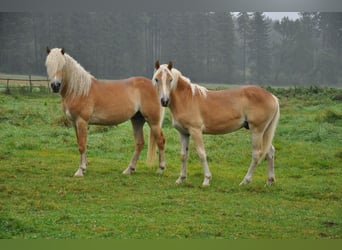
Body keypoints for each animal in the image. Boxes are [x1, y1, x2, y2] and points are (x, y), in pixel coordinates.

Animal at [44, 47, 166, 176]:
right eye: (48, 65)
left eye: (62, 65)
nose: (55, 85)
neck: (79, 90)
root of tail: (157, 87)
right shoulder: (74, 123)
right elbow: (80, 143)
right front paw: (84, 167)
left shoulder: (82, 121)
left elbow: (82, 145)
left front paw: (80, 170)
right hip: (137, 120)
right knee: (139, 143)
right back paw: (129, 169)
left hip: (153, 122)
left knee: (160, 141)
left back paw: (160, 168)